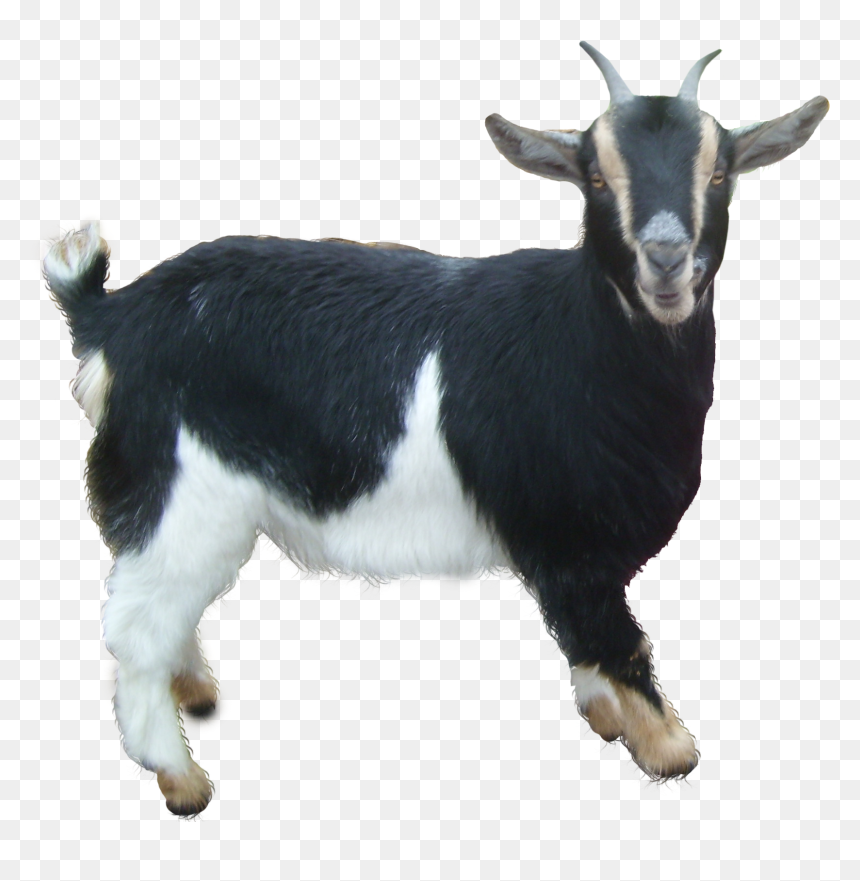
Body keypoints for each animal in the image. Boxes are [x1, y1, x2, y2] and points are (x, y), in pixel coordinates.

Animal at [44, 42, 828, 816]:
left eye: (720, 170)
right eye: (597, 175)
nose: (666, 258)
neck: (584, 340)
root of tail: (113, 315)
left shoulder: (563, 549)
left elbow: (586, 641)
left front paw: (606, 715)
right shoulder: (570, 542)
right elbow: (615, 640)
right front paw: (669, 749)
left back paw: (195, 689)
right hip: (181, 491)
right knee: (137, 628)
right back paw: (180, 777)